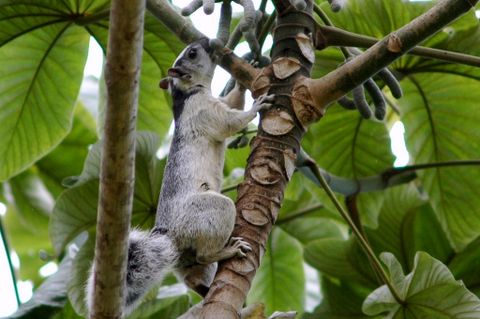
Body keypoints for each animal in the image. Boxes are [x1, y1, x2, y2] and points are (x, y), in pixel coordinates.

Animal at [86, 37, 274, 316]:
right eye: (192, 53)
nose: (208, 40)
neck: (187, 93)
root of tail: (171, 237)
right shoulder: (203, 111)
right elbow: (229, 121)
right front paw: (257, 106)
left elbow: (231, 101)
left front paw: (242, 79)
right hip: (208, 212)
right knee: (206, 254)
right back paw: (228, 252)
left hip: (188, 261)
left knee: (195, 274)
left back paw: (209, 293)